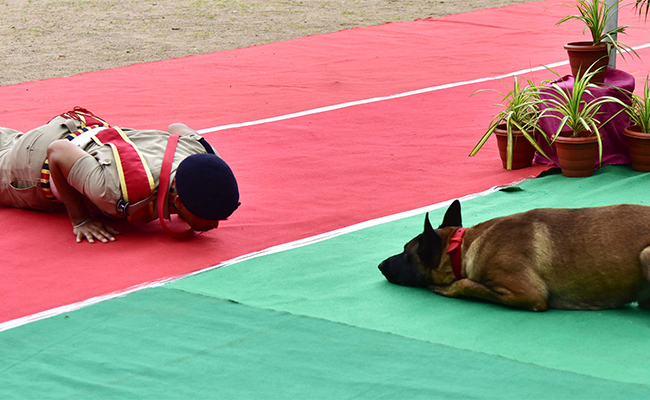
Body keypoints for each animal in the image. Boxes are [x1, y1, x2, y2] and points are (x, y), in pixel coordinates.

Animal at [378, 202, 648, 310]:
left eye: (406, 252)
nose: (380, 265)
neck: (462, 247)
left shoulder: (527, 295)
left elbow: (466, 284)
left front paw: (447, 288)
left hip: (645, 256)